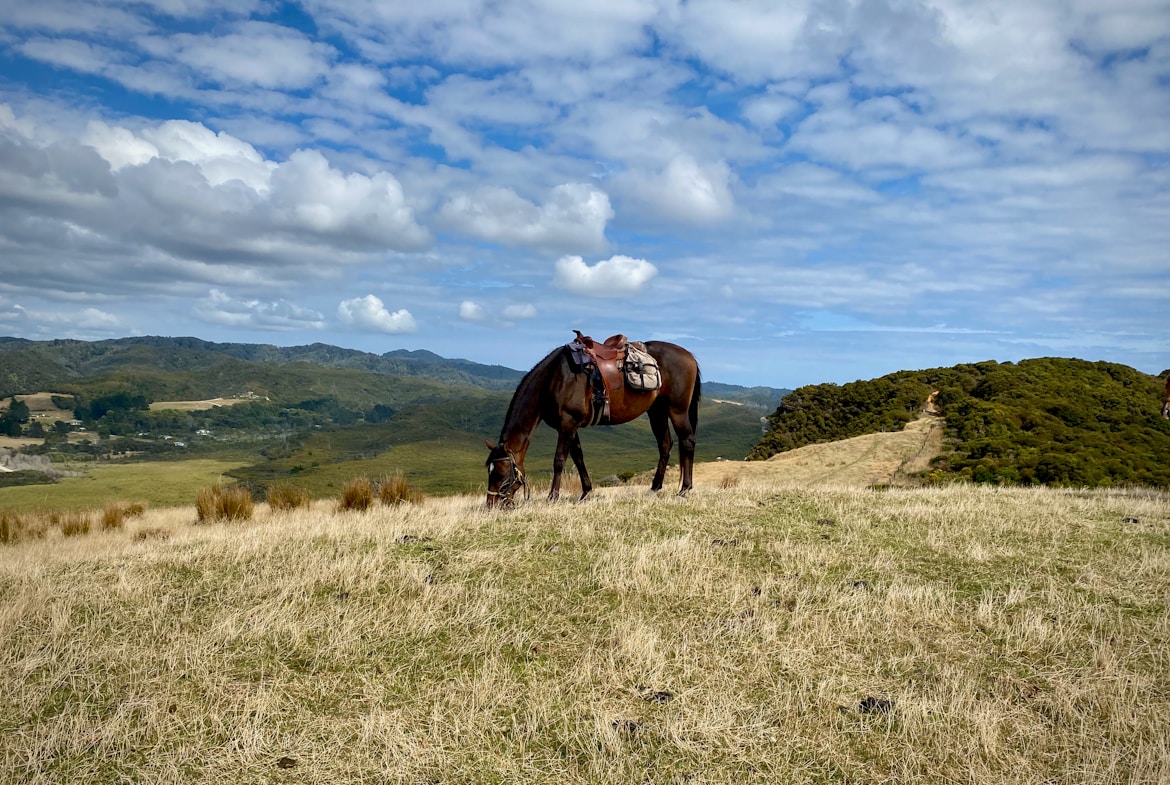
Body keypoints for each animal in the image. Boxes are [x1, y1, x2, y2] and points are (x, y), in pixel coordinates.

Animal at [482, 336, 697, 510]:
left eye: (501, 473)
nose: (490, 505)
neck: (555, 379)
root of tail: (689, 356)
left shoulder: (567, 424)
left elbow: (559, 460)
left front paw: (553, 497)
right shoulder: (570, 426)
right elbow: (578, 458)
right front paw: (586, 493)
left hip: (677, 410)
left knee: (687, 441)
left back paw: (684, 490)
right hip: (657, 411)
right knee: (665, 444)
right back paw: (654, 488)